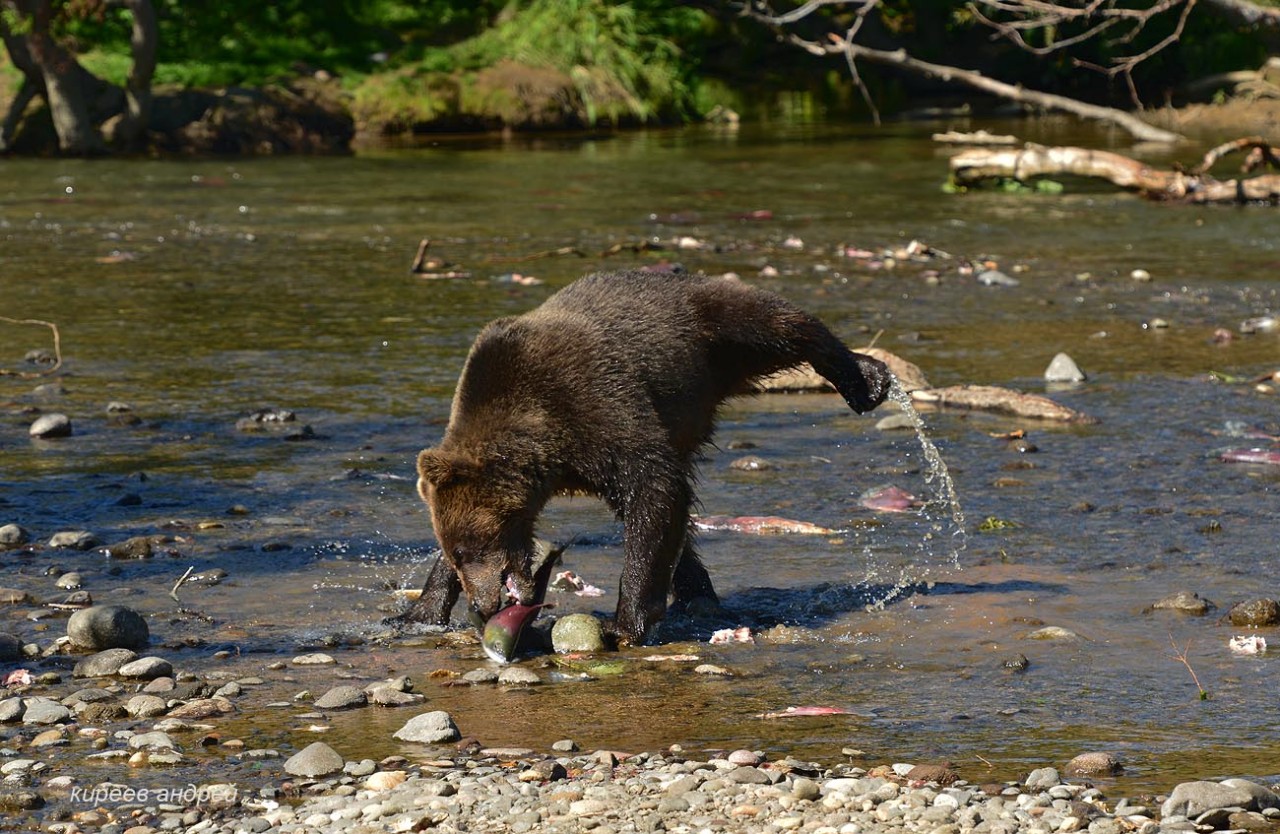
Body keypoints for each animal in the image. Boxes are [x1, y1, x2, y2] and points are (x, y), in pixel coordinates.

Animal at [407, 268, 890, 644]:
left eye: (469, 547)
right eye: (456, 553)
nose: (484, 605)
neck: (544, 442)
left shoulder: (593, 407)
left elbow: (651, 485)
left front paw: (624, 622)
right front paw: (420, 611)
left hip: (707, 331)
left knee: (776, 322)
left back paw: (867, 377)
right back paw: (697, 593)